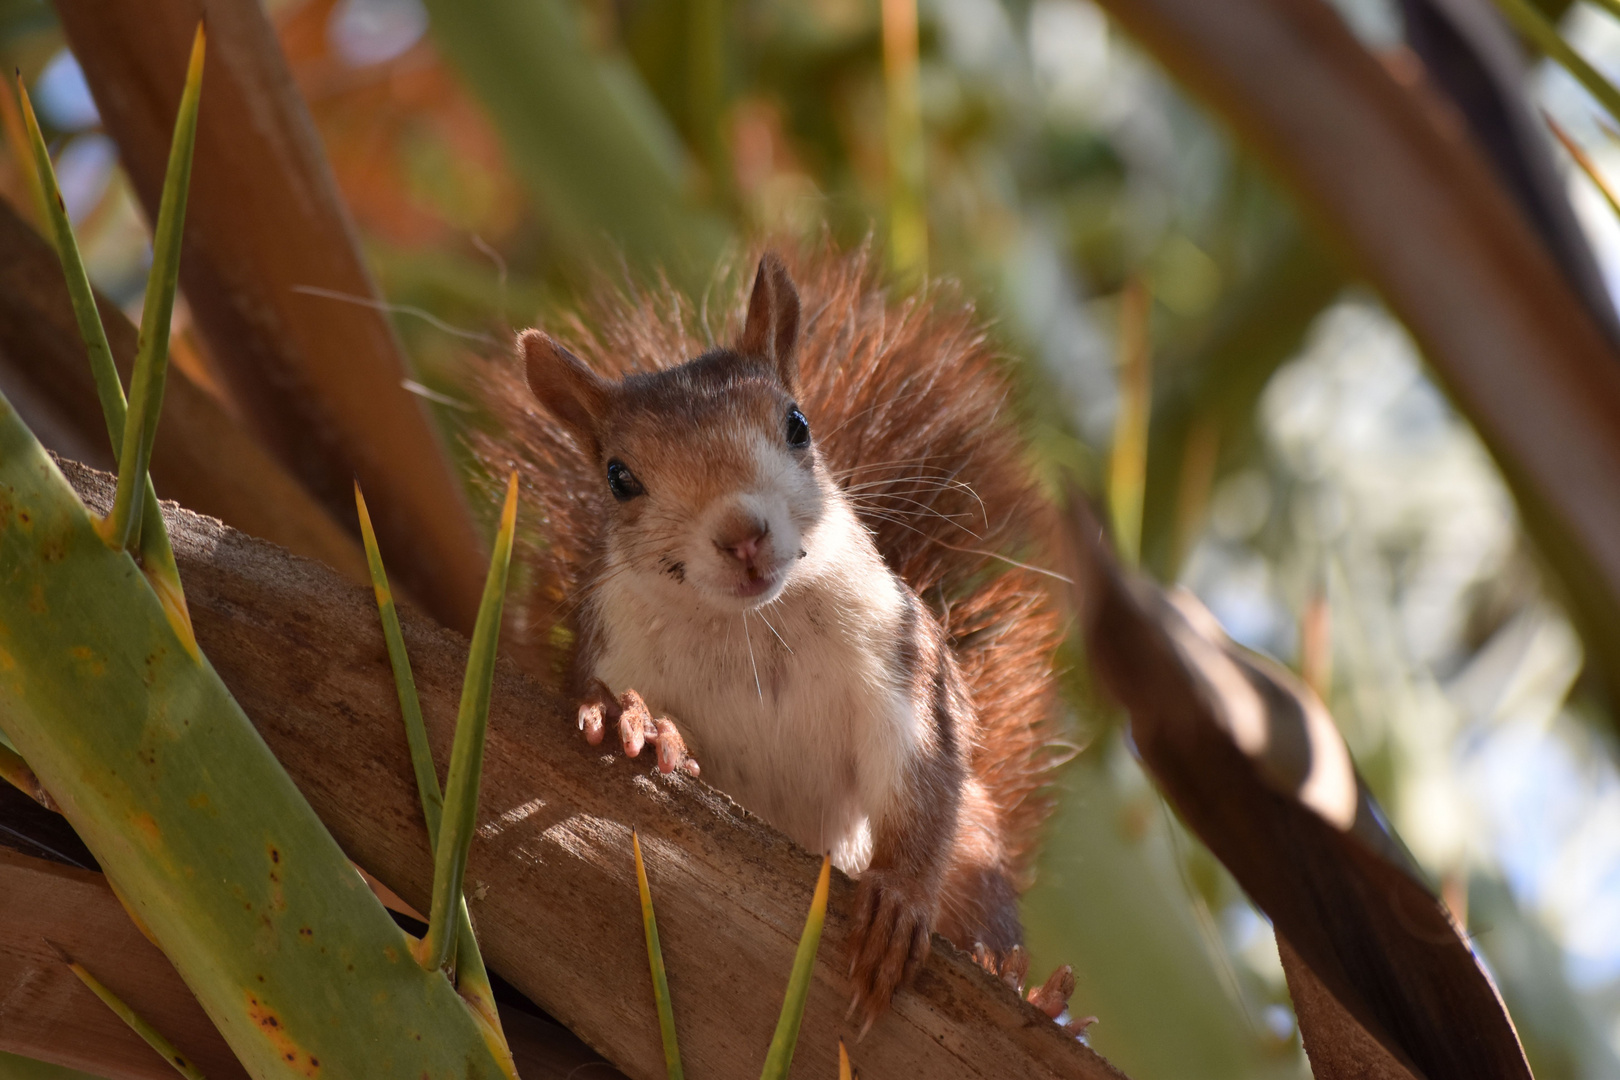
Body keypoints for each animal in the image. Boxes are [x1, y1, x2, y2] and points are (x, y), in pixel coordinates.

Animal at [476, 244, 1075, 1029]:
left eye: (797, 424)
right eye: (618, 476)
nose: (742, 535)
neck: (749, 630)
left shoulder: (900, 661)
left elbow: (919, 783)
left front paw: (896, 900)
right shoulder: (611, 642)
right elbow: (598, 694)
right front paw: (627, 717)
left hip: (976, 853)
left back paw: (1025, 987)